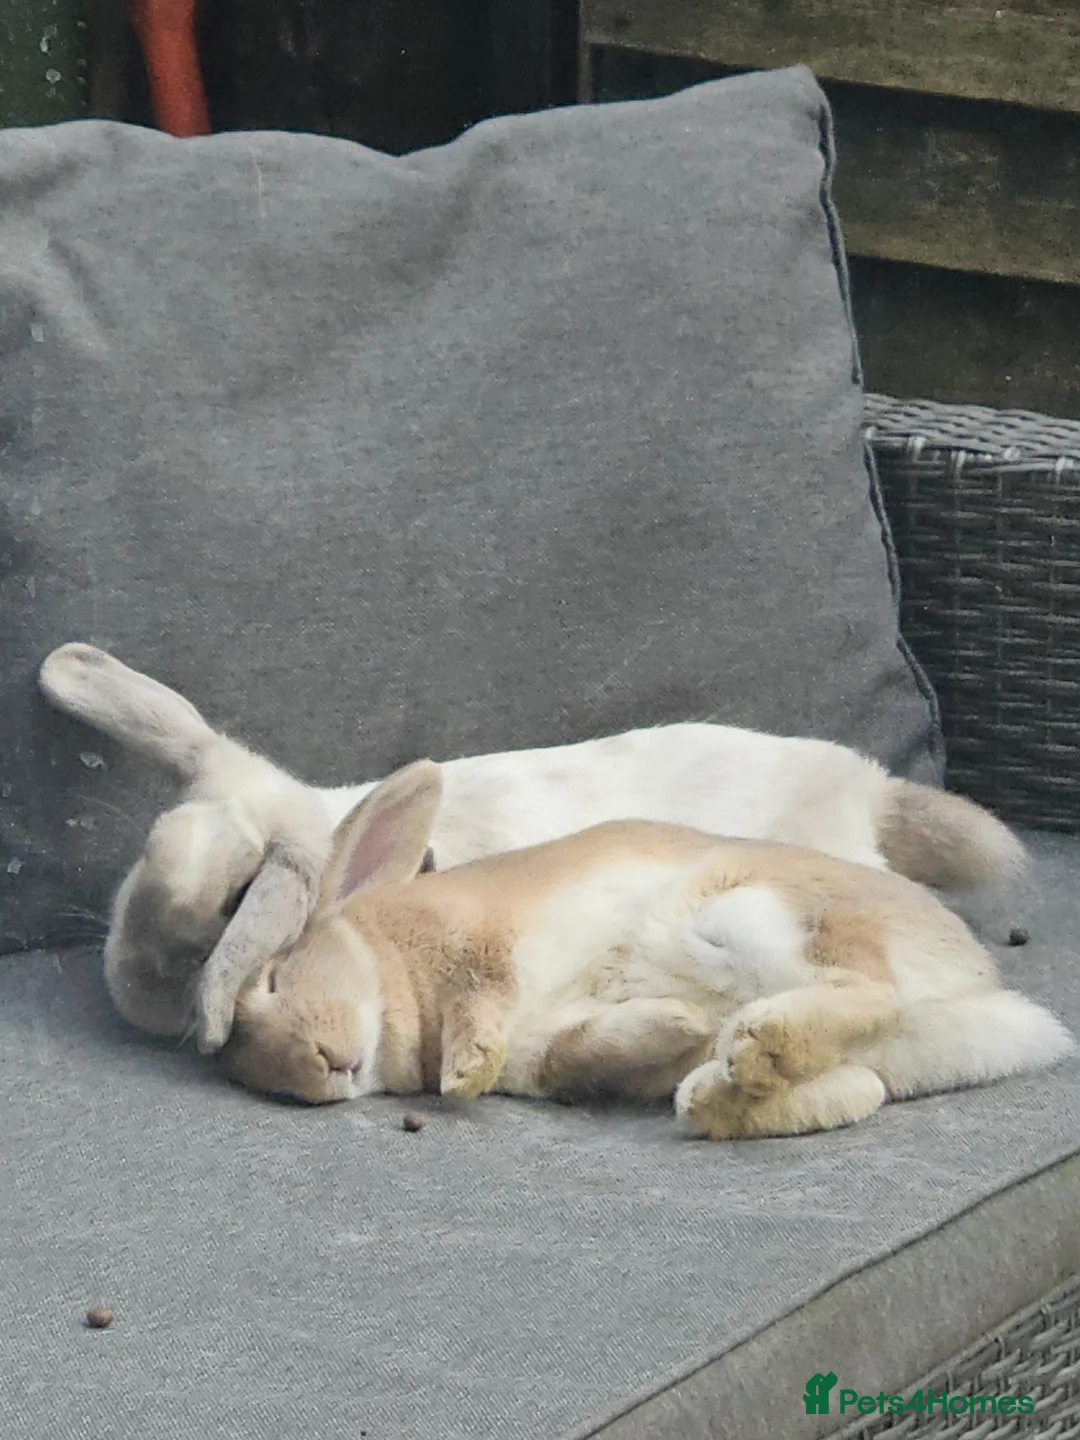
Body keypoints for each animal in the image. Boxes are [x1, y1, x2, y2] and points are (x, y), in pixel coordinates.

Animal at [211, 759, 1074, 1140]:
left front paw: (463, 1075)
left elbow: (482, 1001)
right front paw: (672, 1024)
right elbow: (580, 1049)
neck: (390, 968)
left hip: (753, 911)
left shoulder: (481, 948)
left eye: (275, 978)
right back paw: (720, 1083)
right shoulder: (551, 1052)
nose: (322, 1070)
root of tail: (980, 993)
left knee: (871, 993)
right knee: (851, 1085)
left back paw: (757, 1042)